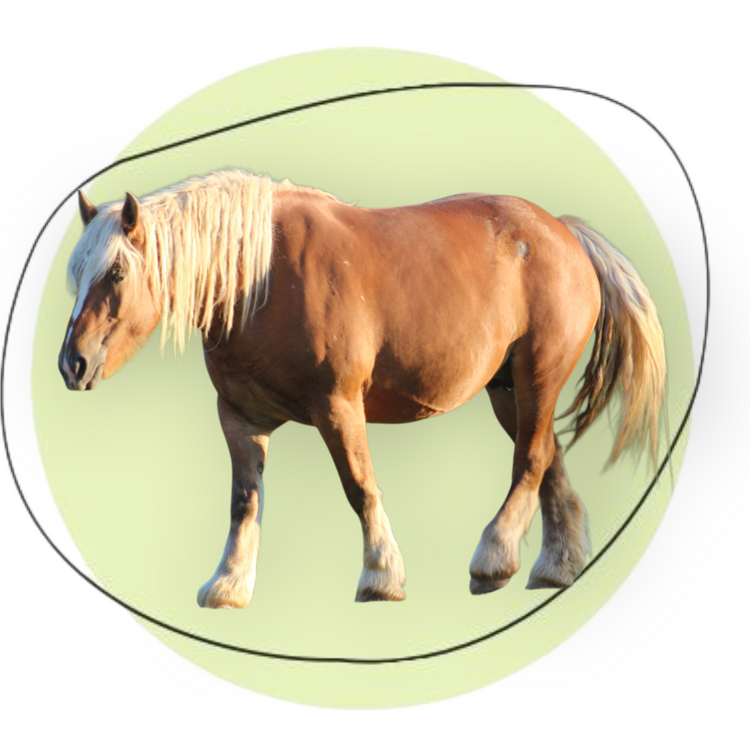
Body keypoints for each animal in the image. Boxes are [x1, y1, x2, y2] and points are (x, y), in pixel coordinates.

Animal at [59, 169, 666, 607]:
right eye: (76, 274)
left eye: (116, 272)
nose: (72, 363)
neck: (264, 279)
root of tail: (562, 230)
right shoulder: (239, 417)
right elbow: (242, 502)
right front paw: (229, 585)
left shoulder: (337, 406)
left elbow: (360, 488)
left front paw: (381, 575)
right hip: (507, 388)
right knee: (546, 460)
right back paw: (554, 567)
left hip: (538, 373)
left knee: (531, 459)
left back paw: (494, 559)